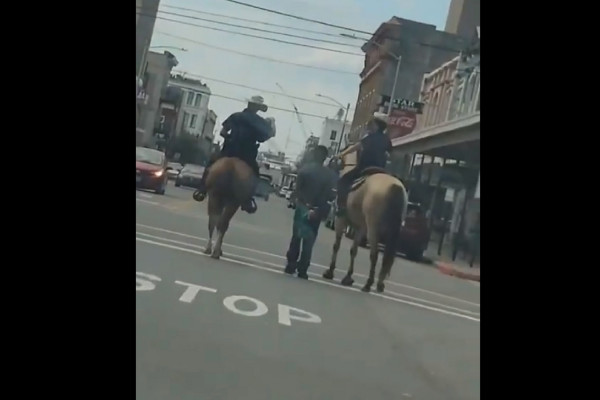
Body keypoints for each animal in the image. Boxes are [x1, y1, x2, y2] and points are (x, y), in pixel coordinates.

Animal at [322, 153, 409, 293]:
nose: (328, 162)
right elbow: (354, 250)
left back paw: (368, 283)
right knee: (387, 257)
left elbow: (336, 245)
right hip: (392, 230)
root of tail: (396, 187)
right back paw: (380, 284)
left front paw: (330, 271)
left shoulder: (341, 220)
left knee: (374, 255)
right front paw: (348, 277)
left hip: (373, 228)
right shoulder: (360, 228)